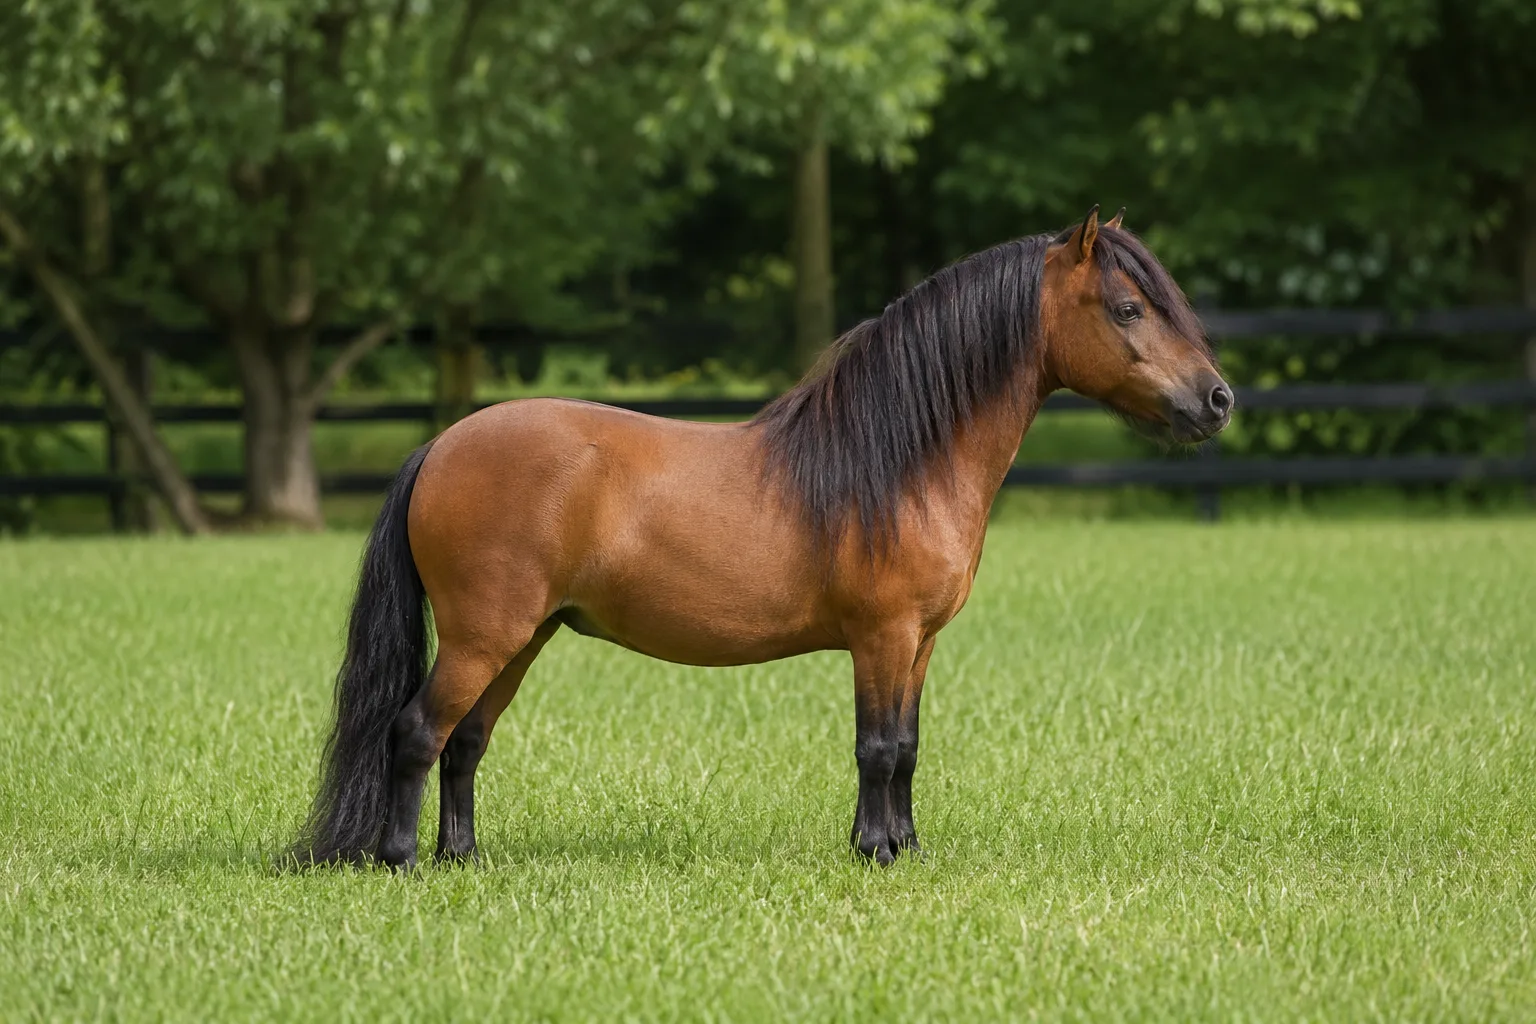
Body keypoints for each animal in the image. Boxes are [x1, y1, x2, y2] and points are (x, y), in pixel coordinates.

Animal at [294, 206, 1233, 869]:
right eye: (1128, 308)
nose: (1217, 401)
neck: (900, 458)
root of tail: (442, 445)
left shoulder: (921, 644)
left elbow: (909, 748)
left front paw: (907, 848)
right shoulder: (882, 637)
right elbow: (877, 748)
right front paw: (875, 853)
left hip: (520, 637)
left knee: (465, 741)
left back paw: (466, 859)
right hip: (484, 637)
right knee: (417, 733)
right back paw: (403, 861)